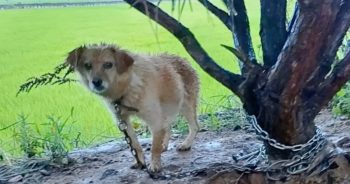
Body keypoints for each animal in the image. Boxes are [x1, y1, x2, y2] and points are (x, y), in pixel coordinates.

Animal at [65, 43, 200, 173]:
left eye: (108, 64)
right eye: (88, 65)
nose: (96, 82)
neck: (126, 89)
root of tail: (183, 59)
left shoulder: (154, 118)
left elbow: (154, 146)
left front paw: (155, 165)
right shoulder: (123, 120)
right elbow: (135, 144)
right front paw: (140, 162)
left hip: (186, 106)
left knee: (194, 126)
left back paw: (186, 144)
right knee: (168, 127)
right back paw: (164, 145)